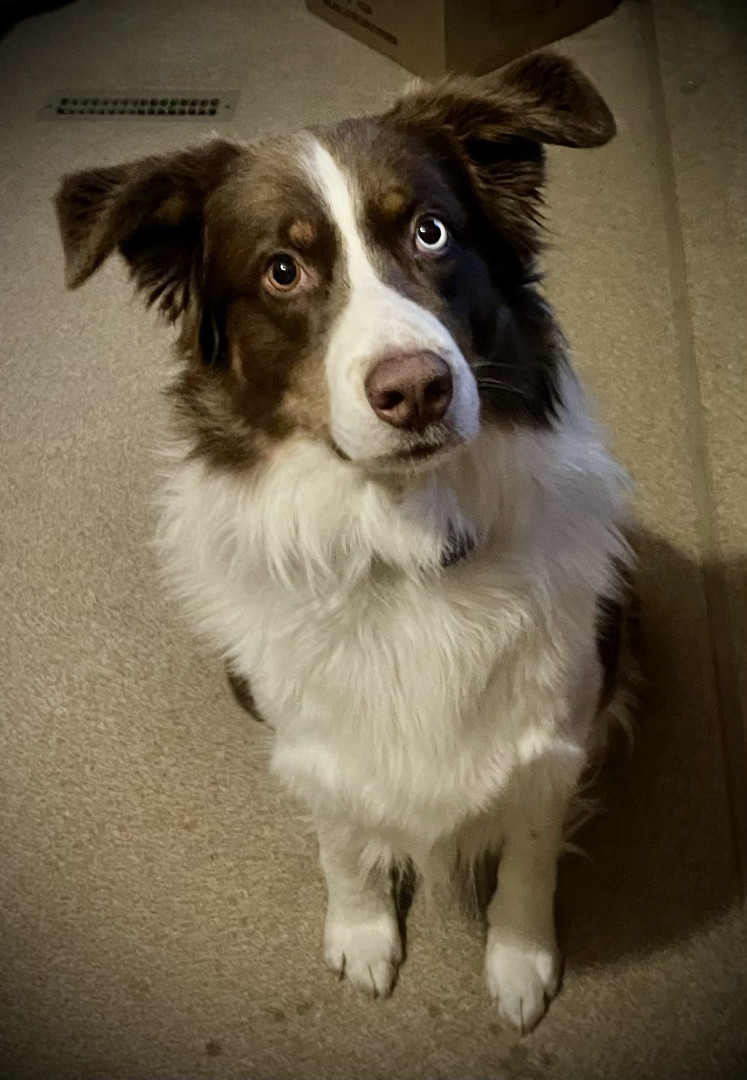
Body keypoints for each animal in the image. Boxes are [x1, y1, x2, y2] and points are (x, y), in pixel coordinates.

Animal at [55, 51, 632, 1031]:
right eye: (282, 271)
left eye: (431, 232)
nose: (418, 390)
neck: (403, 543)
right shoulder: (311, 737)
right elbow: (342, 839)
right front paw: (363, 932)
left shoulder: (552, 732)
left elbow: (527, 852)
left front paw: (518, 958)